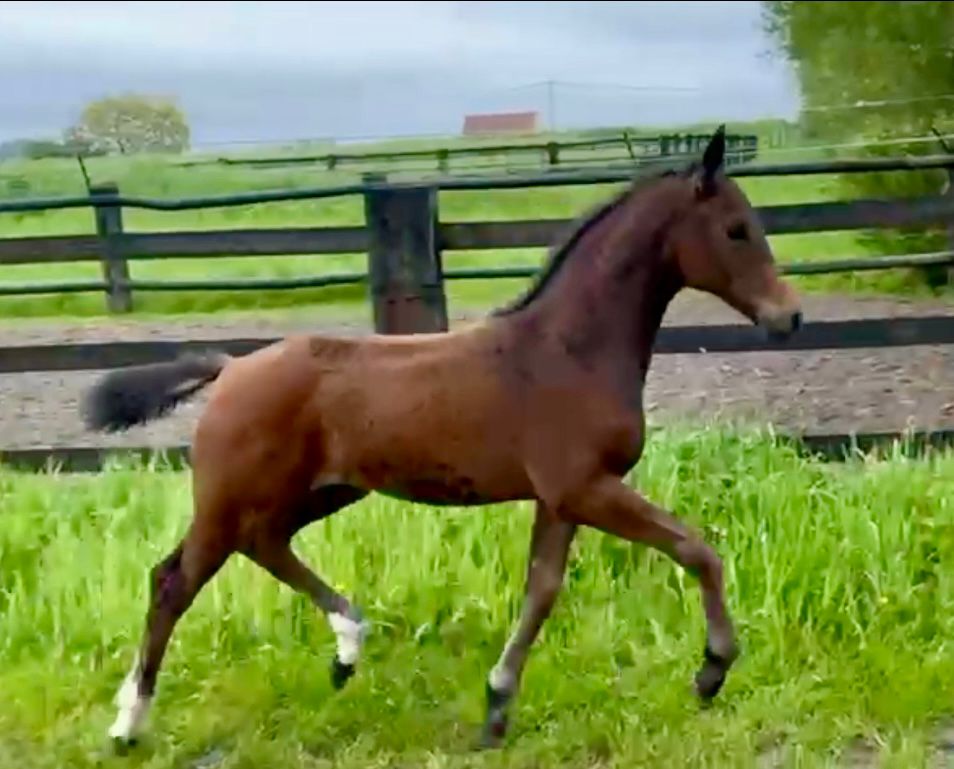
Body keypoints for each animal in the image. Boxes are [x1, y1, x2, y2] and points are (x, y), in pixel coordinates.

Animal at [81, 125, 802, 750]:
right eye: (736, 229)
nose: (789, 316)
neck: (568, 352)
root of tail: (230, 368)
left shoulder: (562, 498)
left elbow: (542, 591)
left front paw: (496, 707)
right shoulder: (585, 487)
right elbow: (696, 550)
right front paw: (711, 670)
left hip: (319, 492)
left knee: (265, 544)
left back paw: (347, 645)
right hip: (231, 499)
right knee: (173, 581)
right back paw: (128, 723)